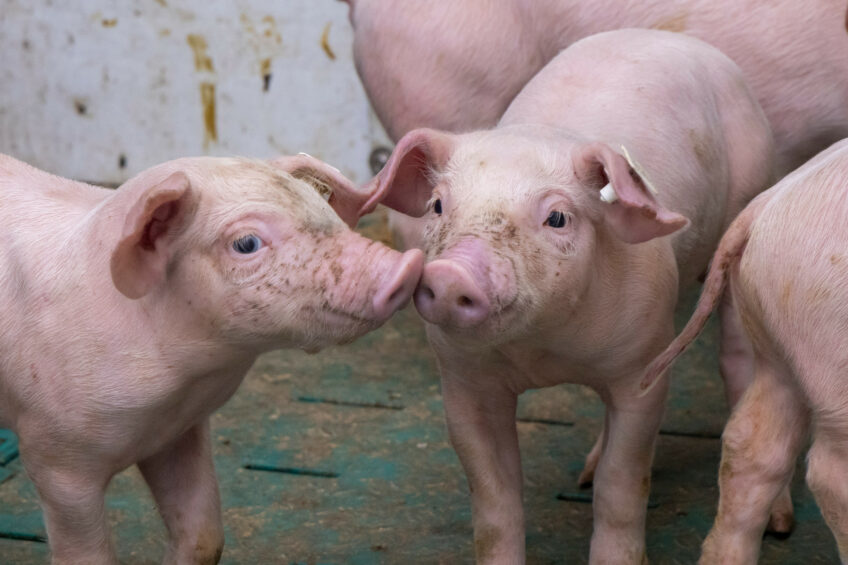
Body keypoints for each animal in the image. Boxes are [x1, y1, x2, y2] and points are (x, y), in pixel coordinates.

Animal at [0, 153, 423, 565]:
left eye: (324, 208)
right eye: (246, 243)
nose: (407, 266)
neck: (179, 382)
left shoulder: (179, 428)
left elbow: (203, 537)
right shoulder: (54, 457)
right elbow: (86, 555)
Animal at [359, 29, 777, 563]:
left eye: (557, 217)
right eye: (437, 205)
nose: (452, 273)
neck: (546, 352)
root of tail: (673, 37)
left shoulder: (641, 367)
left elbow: (622, 484)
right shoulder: (463, 381)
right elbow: (493, 501)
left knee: (738, 360)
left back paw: (781, 522)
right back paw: (585, 473)